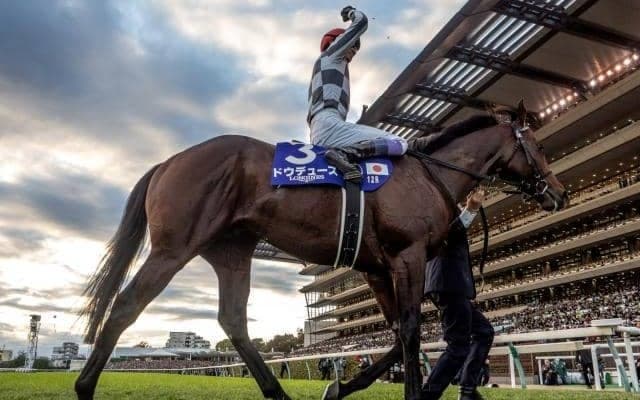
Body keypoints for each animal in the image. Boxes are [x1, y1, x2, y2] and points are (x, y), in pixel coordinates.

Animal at [75, 101, 568, 400]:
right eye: (538, 146)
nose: (559, 194)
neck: (428, 176)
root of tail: (169, 160)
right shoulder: (406, 256)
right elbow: (410, 332)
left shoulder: (375, 268)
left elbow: (394, 335)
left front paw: (340, 387)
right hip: (175, 246)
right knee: (126, 305)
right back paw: (83, 385)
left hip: (231, 251)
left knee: (233, 320)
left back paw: (277, 392)